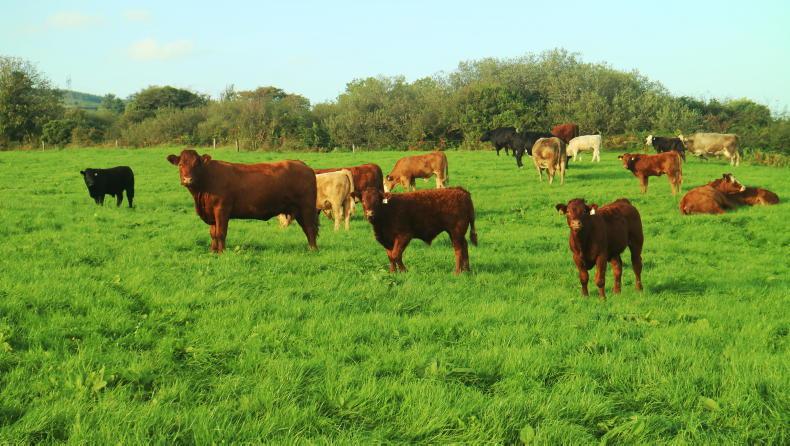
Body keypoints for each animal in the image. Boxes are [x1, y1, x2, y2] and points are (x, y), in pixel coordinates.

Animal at [166, 149, 318, 253]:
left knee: (310, 228)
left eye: (197, 164)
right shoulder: (212, 213)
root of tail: (303, 165)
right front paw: (213, 252)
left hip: (306, 208)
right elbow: (213, 233)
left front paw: (221, 252)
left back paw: (313, 250)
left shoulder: (222, 209)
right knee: (307, 229)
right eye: (180, 165)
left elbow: (221, 232)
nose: (187, 179)